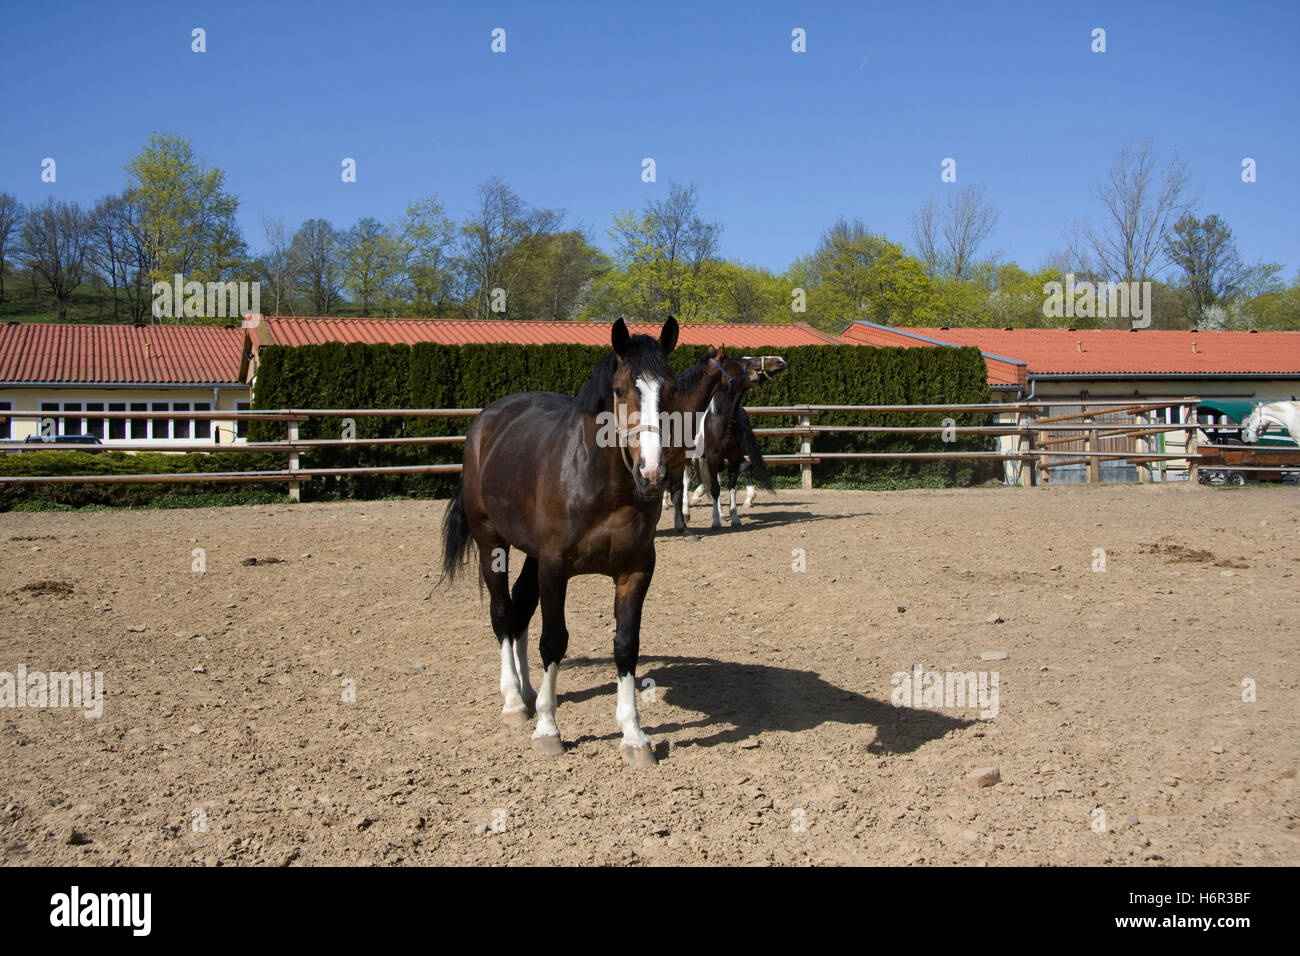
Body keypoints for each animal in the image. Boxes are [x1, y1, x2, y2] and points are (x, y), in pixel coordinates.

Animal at [436, 317, 743, 764]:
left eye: (669, 390)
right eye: (619, 389)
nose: (652, 473)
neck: (601, 484)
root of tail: (485, 422)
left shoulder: (635, 571)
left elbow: (626, 645)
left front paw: (634, 735)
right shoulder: (554, 566)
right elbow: (553, 641)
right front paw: (548, 728)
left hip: (530, 555)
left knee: (519, 610)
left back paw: (527, 691)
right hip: (491, 542)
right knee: (502, 613)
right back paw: (514, 701)